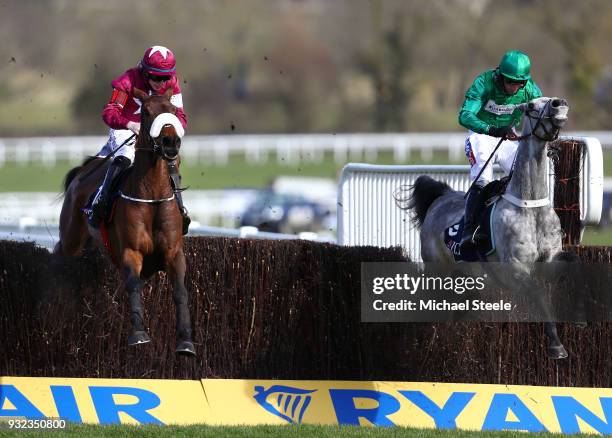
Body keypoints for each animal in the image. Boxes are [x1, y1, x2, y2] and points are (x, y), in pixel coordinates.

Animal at [55, 88, 195, 356]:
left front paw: (186, 340)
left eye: (173, 110)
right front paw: (138, 334)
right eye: (146, 112)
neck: (152, 196)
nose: (170, 143)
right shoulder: (131, 251)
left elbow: (181, 291)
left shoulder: (173, 252)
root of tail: (83, 171)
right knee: (60, 252)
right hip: (71, 240)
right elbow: (133, 285)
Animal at [408, 96, 572, 360]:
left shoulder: (550, 257)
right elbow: (538, 293)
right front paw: (556, 345)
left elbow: (572, 262)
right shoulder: (515, 270)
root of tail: (440, 198)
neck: (530, 206)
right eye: (531, 106)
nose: (559, 104)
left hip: (466, 283)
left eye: (547, 99)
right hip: (438, 273)